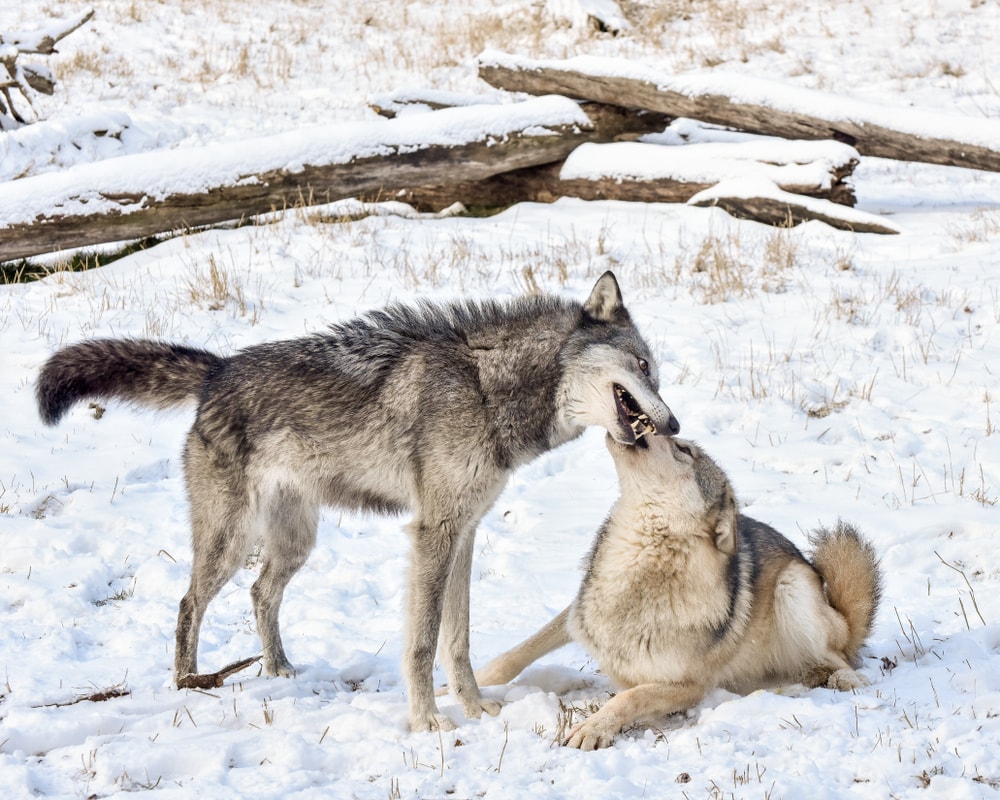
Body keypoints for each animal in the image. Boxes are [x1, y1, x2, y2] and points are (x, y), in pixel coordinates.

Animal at [35, 271, 679, 732]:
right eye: (643, 366)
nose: (672, 425)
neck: (486, 388)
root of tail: (217, 370)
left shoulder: (465, 532)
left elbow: (459, 639)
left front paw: (477, 710)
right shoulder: (434, 533)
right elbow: (423, 641)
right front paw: (428, 723)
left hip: (295, 542)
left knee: (259, 593)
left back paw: (279, 671)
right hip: (230, 542)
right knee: (188, 603)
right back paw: (191, 685)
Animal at [473, 433, 882, 749]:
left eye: (683, 449)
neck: (637, 558)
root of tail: (841, 617)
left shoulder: (689, 685)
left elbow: (629, 696)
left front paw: (593, 728)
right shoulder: (579, 613)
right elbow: (517, 653)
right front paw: (473, 685)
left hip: (792, 588)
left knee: (844, 657)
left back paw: (843, 679)